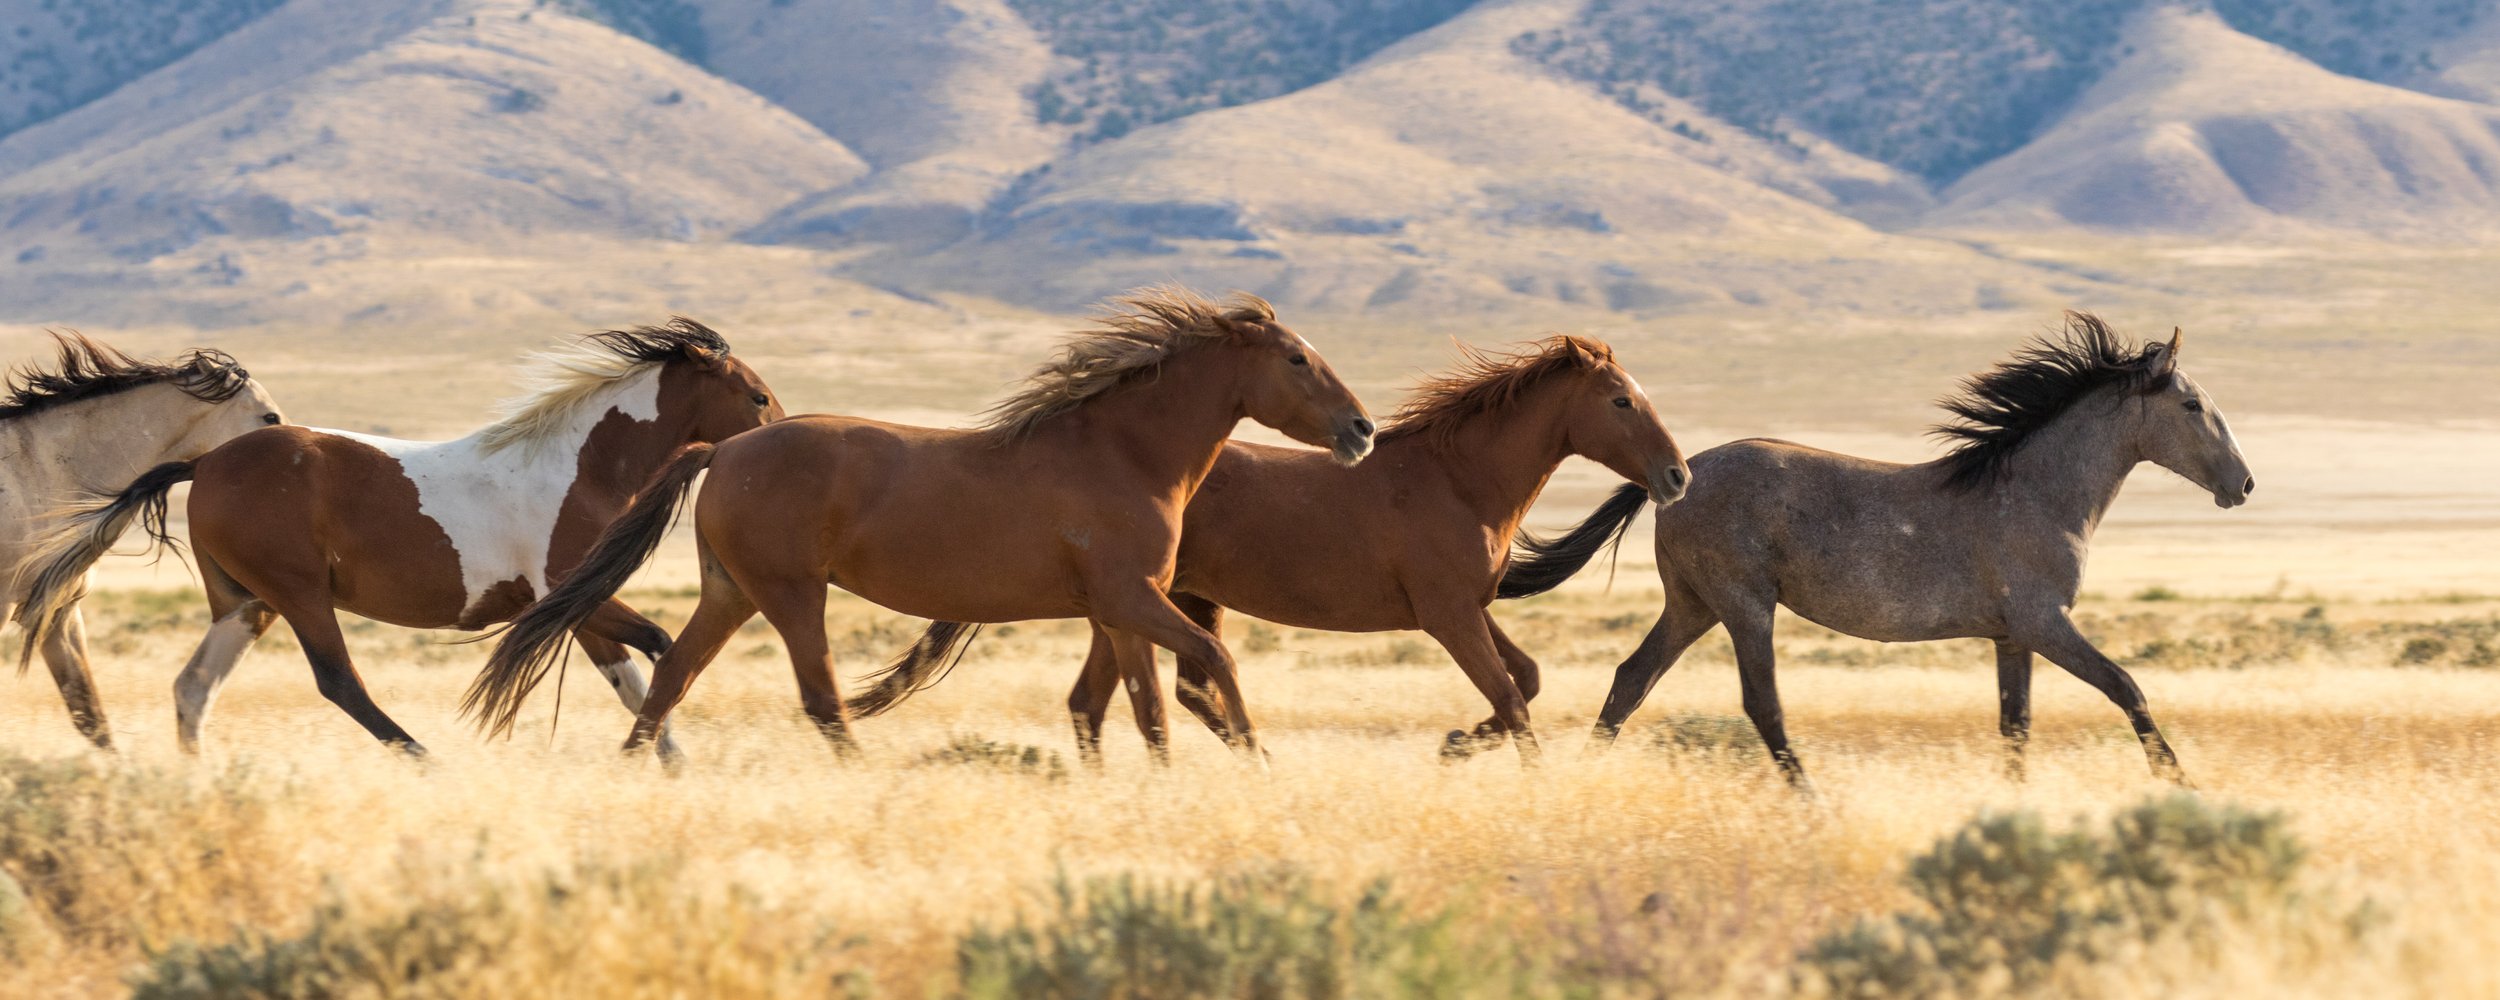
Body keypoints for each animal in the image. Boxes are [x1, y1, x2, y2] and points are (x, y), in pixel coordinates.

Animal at [467, 288, 1375, 764]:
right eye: (1297, 359)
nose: (1361, 431)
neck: (1123, 452)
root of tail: (723, 450)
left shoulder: (1119, 613)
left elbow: (1136, 705)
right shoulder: (1133, 601)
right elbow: (1207, 664)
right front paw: (1255, 760)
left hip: (732, 593)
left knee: (671, 678)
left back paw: (642, 773)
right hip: (791, 595)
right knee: (821, 698)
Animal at [853, 335, 1692, 766]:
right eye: (1622, 400)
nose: (1677, 476)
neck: (1458, 480)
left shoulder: (1470, 609)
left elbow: (1526, 679)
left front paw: (1456, 741)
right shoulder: (1447, 615)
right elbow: (1513, 698)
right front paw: (1511, 766)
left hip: (1142, 606)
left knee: (1113, 699)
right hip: (1154, 603)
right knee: (1164, 691)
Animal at [1505, 314, 2252, 787]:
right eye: (2192, 406)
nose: (2242, 484)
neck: (2038, 491)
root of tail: (1677, 475)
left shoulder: (2012, 636)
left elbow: (2015, 726)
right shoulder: (2046, 622)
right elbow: (2127, 687)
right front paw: (2180, 782)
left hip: (1693, 606)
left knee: (1630, 681)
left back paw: (1580, 780)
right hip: (1744, 605)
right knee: (1761, 704)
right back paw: (1812, 800)